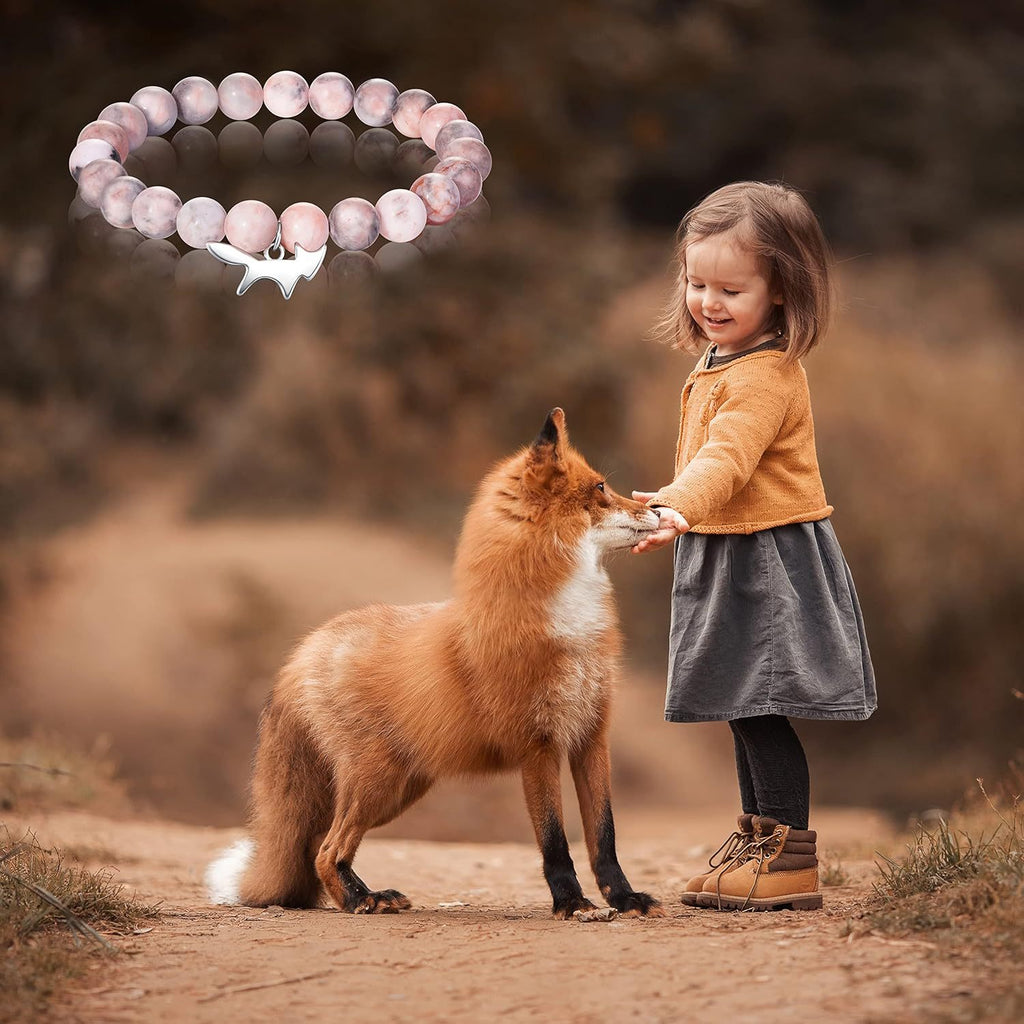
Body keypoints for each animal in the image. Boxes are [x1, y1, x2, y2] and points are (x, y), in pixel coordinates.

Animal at [205, 407, 665, 919]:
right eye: (601, 488)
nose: (658, 507)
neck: (568, 625)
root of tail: (303, 649)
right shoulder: (536, 744)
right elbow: (554, 842)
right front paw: (569, 902)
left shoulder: (591, 736)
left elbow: (604, 836)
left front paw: (624, 898)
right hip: (378, 783)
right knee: (326, 851)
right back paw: (362, 900)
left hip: (400, 788)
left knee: (317, 850)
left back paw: (363, 894)